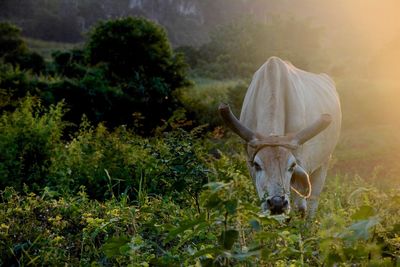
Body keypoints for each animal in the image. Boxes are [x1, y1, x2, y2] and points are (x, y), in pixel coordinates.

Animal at [219, 57, 340, 218]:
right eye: (257, 165)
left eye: (292, 165)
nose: (277, 203)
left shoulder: (301, 161)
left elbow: (299, 207)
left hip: (324, 163)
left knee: (312, 203)